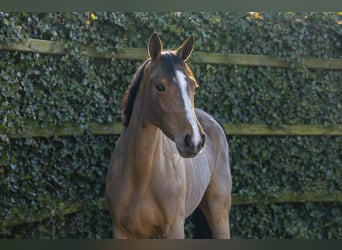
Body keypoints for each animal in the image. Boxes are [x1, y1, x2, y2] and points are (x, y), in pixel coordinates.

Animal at [105, 33, 232, 238]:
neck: (140, 179)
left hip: (219, 213)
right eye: (159, 86)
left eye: (193, 85)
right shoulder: (122, 232)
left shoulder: (174, 229)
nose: (194, 140)